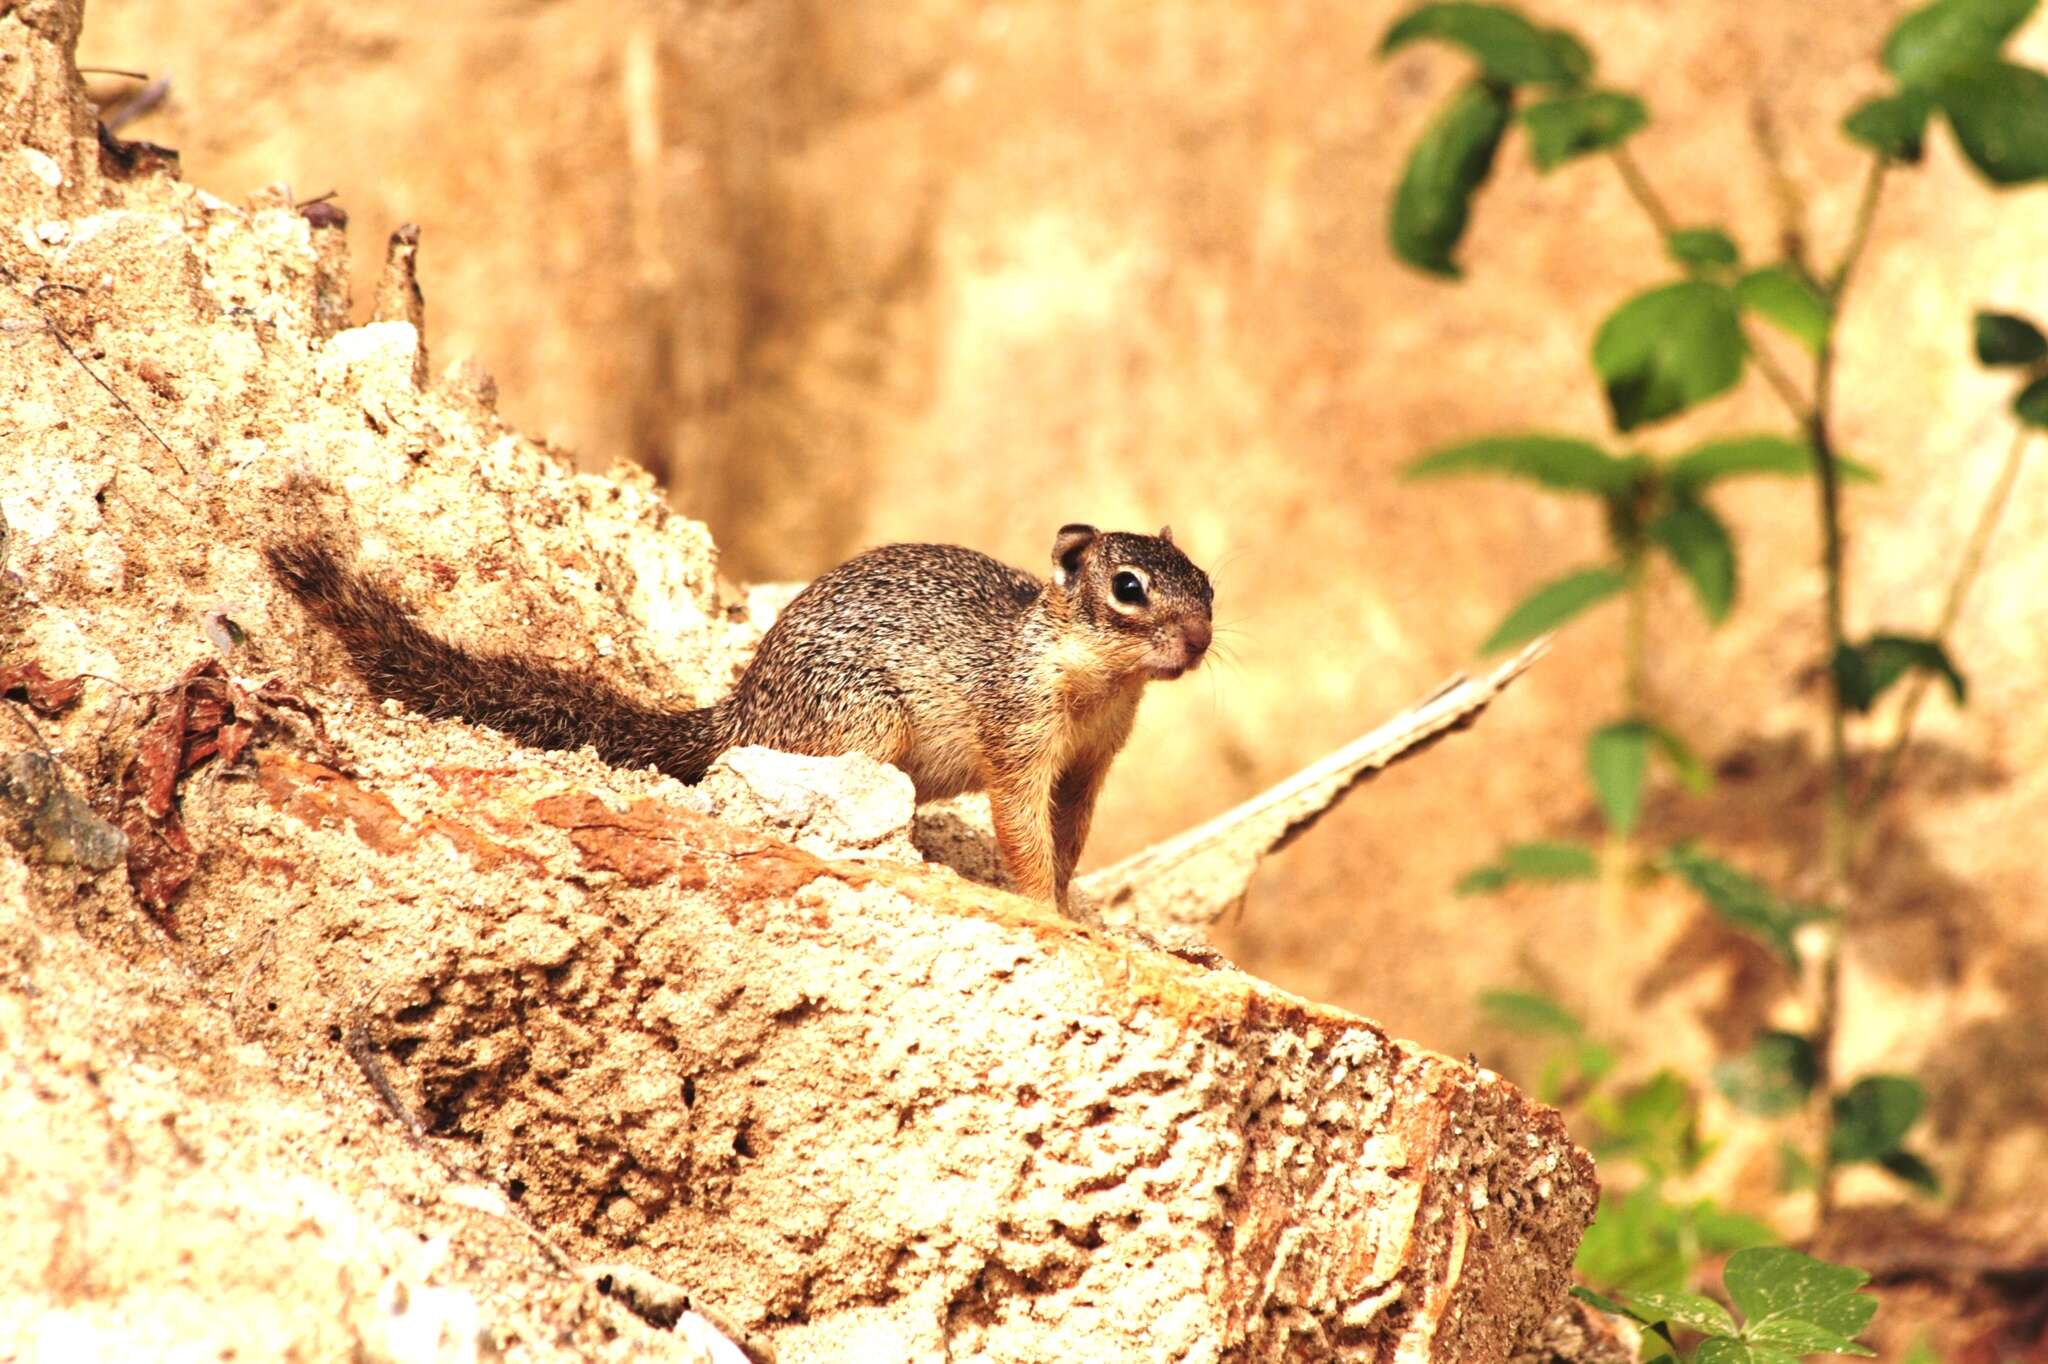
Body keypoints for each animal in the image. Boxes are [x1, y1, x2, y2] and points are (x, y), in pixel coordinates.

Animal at [264, 520, 1204, 901]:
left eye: (1207, 583)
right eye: (1128, 589)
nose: (1198, 641)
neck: (1095, 678)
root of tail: (743, 712)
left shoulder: (1090, 764)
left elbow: (1070, 835)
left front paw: (1074, 900)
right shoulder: (1018, 735)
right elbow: (1021, 830)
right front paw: (1048, 905)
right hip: (861, 725)